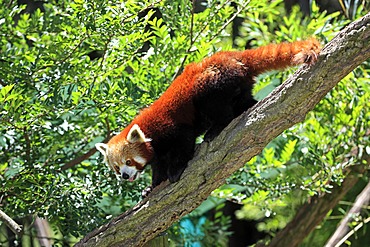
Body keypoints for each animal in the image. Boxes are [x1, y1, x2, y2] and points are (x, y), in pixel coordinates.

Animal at [95, 38, 320, 196]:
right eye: (116, 167)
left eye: (129, 161)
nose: (124, 176)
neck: (149, 131)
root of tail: (231, 55)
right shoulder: (157, 153)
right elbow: (158, 168)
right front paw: (152, 187)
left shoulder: (171, 128)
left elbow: (183, 145)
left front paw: (175, 170)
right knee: (244, 100)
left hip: (211, 83)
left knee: (219, 108)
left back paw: (215, 129)